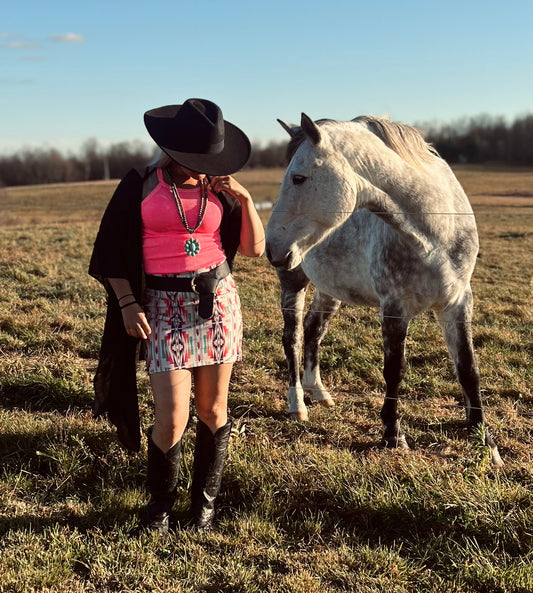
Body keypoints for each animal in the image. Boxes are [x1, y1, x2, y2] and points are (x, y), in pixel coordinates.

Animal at [266, 110, 502, 462]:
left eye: (298, 177)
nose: (272, 248)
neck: (436, 230)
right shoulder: (394, 307)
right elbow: (394, 370)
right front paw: (393, 436)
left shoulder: (458, 301)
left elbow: (468, 369)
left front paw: (484, 442)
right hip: (293, 283)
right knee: (292, 337)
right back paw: (297, 403)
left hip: (330, 290)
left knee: (313, 330)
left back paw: (318, 390)